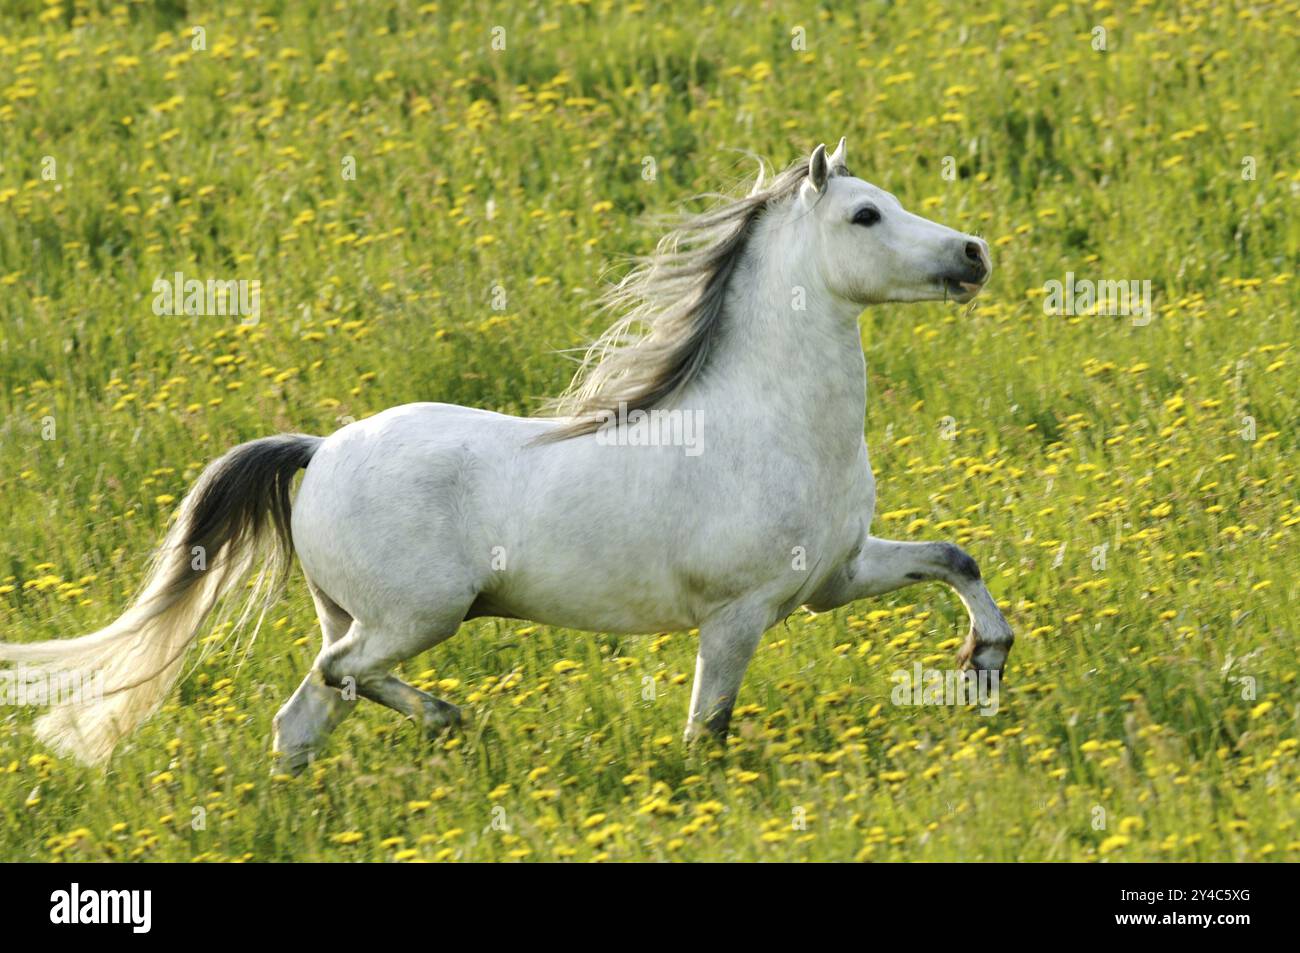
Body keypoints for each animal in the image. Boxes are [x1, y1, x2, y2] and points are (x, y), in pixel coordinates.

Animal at [0, 138, 1013, 770]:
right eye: (865, 216)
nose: (973, 252)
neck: (770, 425)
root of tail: (319, 450)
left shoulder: (837, 575)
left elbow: (954, 556)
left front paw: (985, 660)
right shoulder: (738, 614)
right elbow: (708, 730)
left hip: (354, 616)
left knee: (303, 714)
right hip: (417, 615)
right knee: (341, 677)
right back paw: (449, 719)